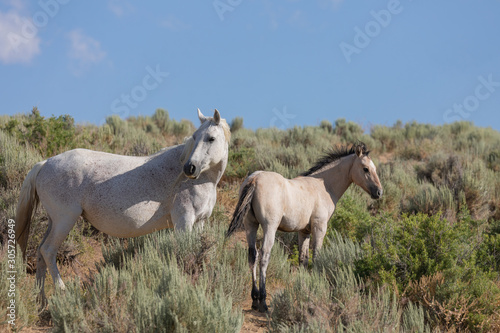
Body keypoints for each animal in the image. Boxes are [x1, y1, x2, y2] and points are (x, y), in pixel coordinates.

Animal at [15, 107, 230, 300]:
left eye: (211, 138)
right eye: (195, 136)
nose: (189, 168)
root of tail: (45, 163)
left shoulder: (199, 222)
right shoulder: (184, 221)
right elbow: (183, 252)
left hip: (54, 221)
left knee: (40, 252)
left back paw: (41, 299)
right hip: (64, 220)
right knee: (48, 251)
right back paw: (62, 292)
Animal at [227, 142, 382, 312]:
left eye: (375, 168)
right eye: (365, 169)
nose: (379, 192)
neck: (323, 186)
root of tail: (254, 179)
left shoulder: (304, 232)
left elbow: (303, 259)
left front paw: (303, 284)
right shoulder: (319, 228)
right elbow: (316, 257)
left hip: (251, 226)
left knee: (252, 256)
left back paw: (254, 300)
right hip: (270, 227)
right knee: (264, 256)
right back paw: (263, 301)